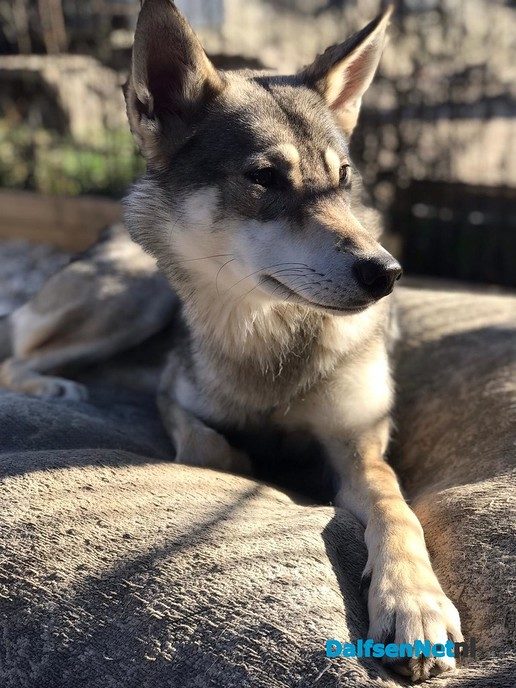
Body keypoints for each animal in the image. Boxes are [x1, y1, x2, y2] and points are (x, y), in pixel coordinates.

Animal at [0, 1, 463, 680]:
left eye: (344, 179)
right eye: (264, 177)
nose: (387, 273)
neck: (268, 339)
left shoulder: (360, 443)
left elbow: (395, 509)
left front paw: (415, 603)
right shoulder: (173, 399)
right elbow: (211, 449)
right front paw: (261, 465)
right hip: (133, 296)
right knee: (16, 352)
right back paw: (55, 387)